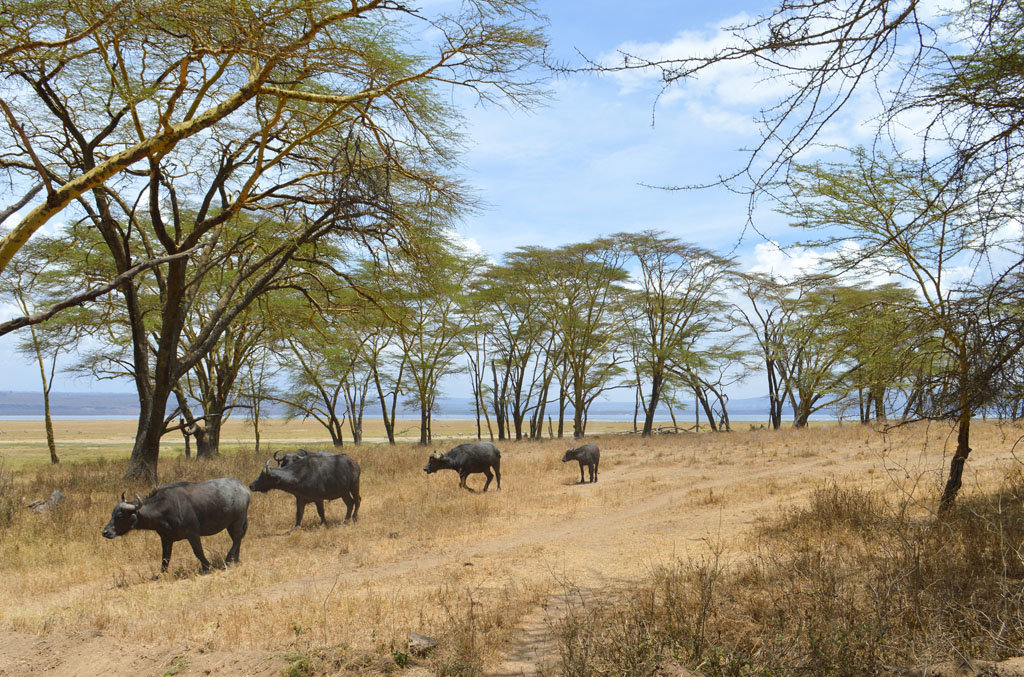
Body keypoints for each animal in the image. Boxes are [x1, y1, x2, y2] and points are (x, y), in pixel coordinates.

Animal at [100, 475, 251, 569]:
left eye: (120, 516)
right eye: (112, 514)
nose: (105, 532)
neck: (166, 509)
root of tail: (244, 489)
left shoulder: (193, 534)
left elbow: (198, 552)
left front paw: (207, 566)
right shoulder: (166, 539)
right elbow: (165, 558)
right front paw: (161, 574)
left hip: (238, 521)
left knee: (237, 539)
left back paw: (228, 559)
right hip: (230, 524)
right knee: (237, 539)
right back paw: (235, 560)